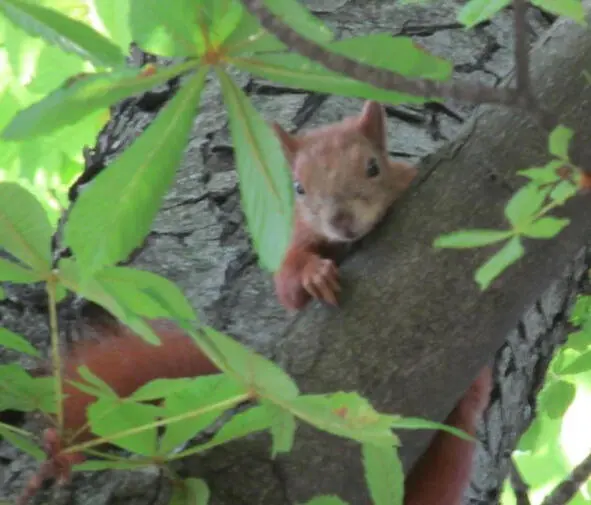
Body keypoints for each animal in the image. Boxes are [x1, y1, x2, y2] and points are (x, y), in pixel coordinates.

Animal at [272, 100, 416, 310]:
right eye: (298, 188)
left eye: (373, 168)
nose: (341, 221)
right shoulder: (301, 230)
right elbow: (287, 284)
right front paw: (316, 275)